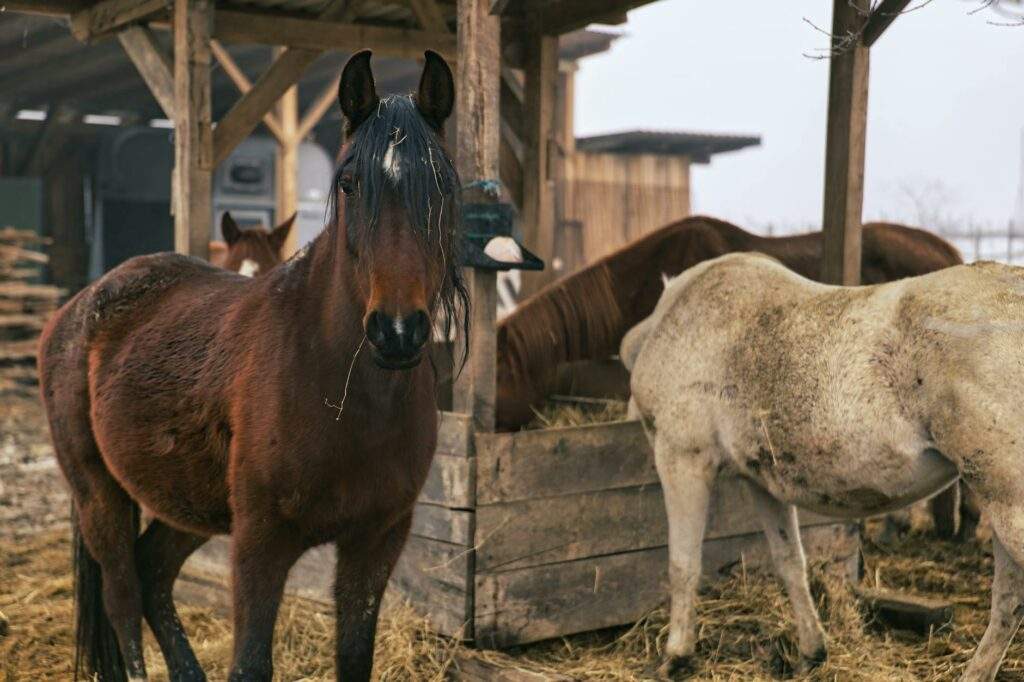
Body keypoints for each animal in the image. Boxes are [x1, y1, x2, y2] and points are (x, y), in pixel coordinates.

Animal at [37, 49, 467, 682]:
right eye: (348, 183)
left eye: (443, 184)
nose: (397, 331)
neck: (339, 392)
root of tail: (77, 308)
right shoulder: (260, 546)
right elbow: (250, 663)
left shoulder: (375, 543)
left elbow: (354, 657)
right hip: (98, 494)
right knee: (122, 597)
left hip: (190, 503)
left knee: (153, 574)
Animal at [622, 253, 1024, 681]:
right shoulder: (761, 481)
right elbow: (790, 563)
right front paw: (811, 649)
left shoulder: (682, 458)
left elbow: (683, 564)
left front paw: (676, 654)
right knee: (1008, 602)